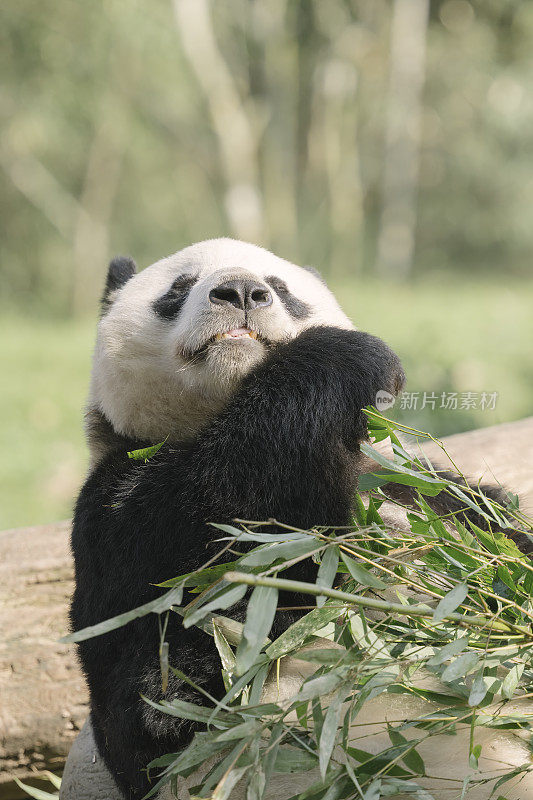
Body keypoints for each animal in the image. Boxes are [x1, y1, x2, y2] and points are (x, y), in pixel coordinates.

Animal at [67, 239, 532, 800]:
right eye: (179, 287)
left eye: (281, 288)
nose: (241, 291)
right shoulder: (120, 521)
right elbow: (168, 682)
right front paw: (346, 355)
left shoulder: (415, 488)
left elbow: (487, 528)